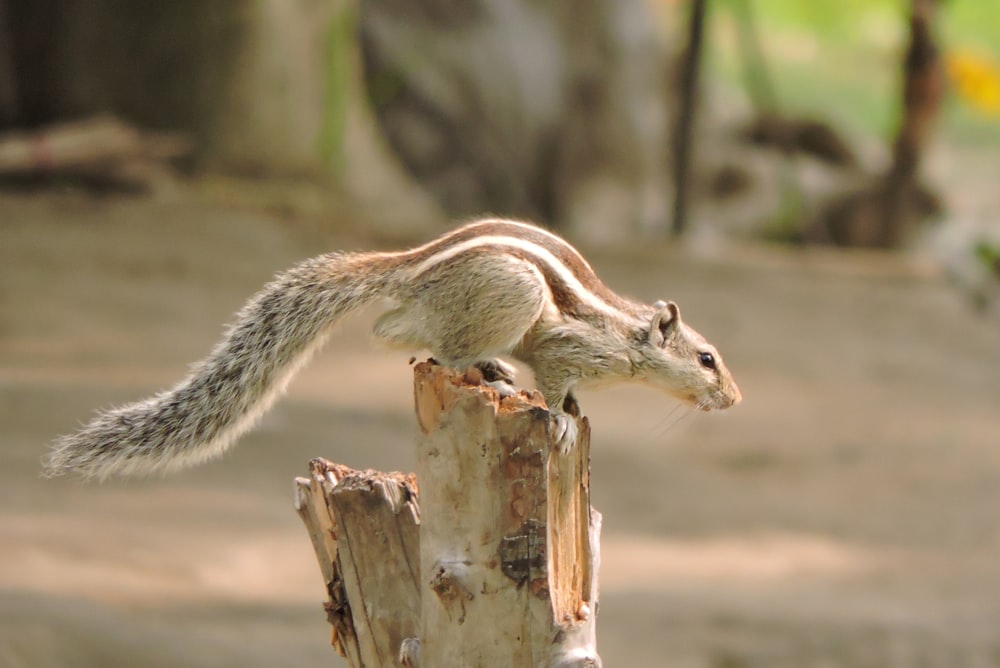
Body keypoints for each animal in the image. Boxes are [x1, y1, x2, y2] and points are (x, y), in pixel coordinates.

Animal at [43, 219, 740, 480]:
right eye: (707, 359)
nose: (734, 399)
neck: (624, 333)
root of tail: (408, 268)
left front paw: (574, 414)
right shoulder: (564, 346)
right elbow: (554, 382)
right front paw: (563, 420)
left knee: (399, 334)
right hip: (514, 291)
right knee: (427, 345)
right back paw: (491, 373)